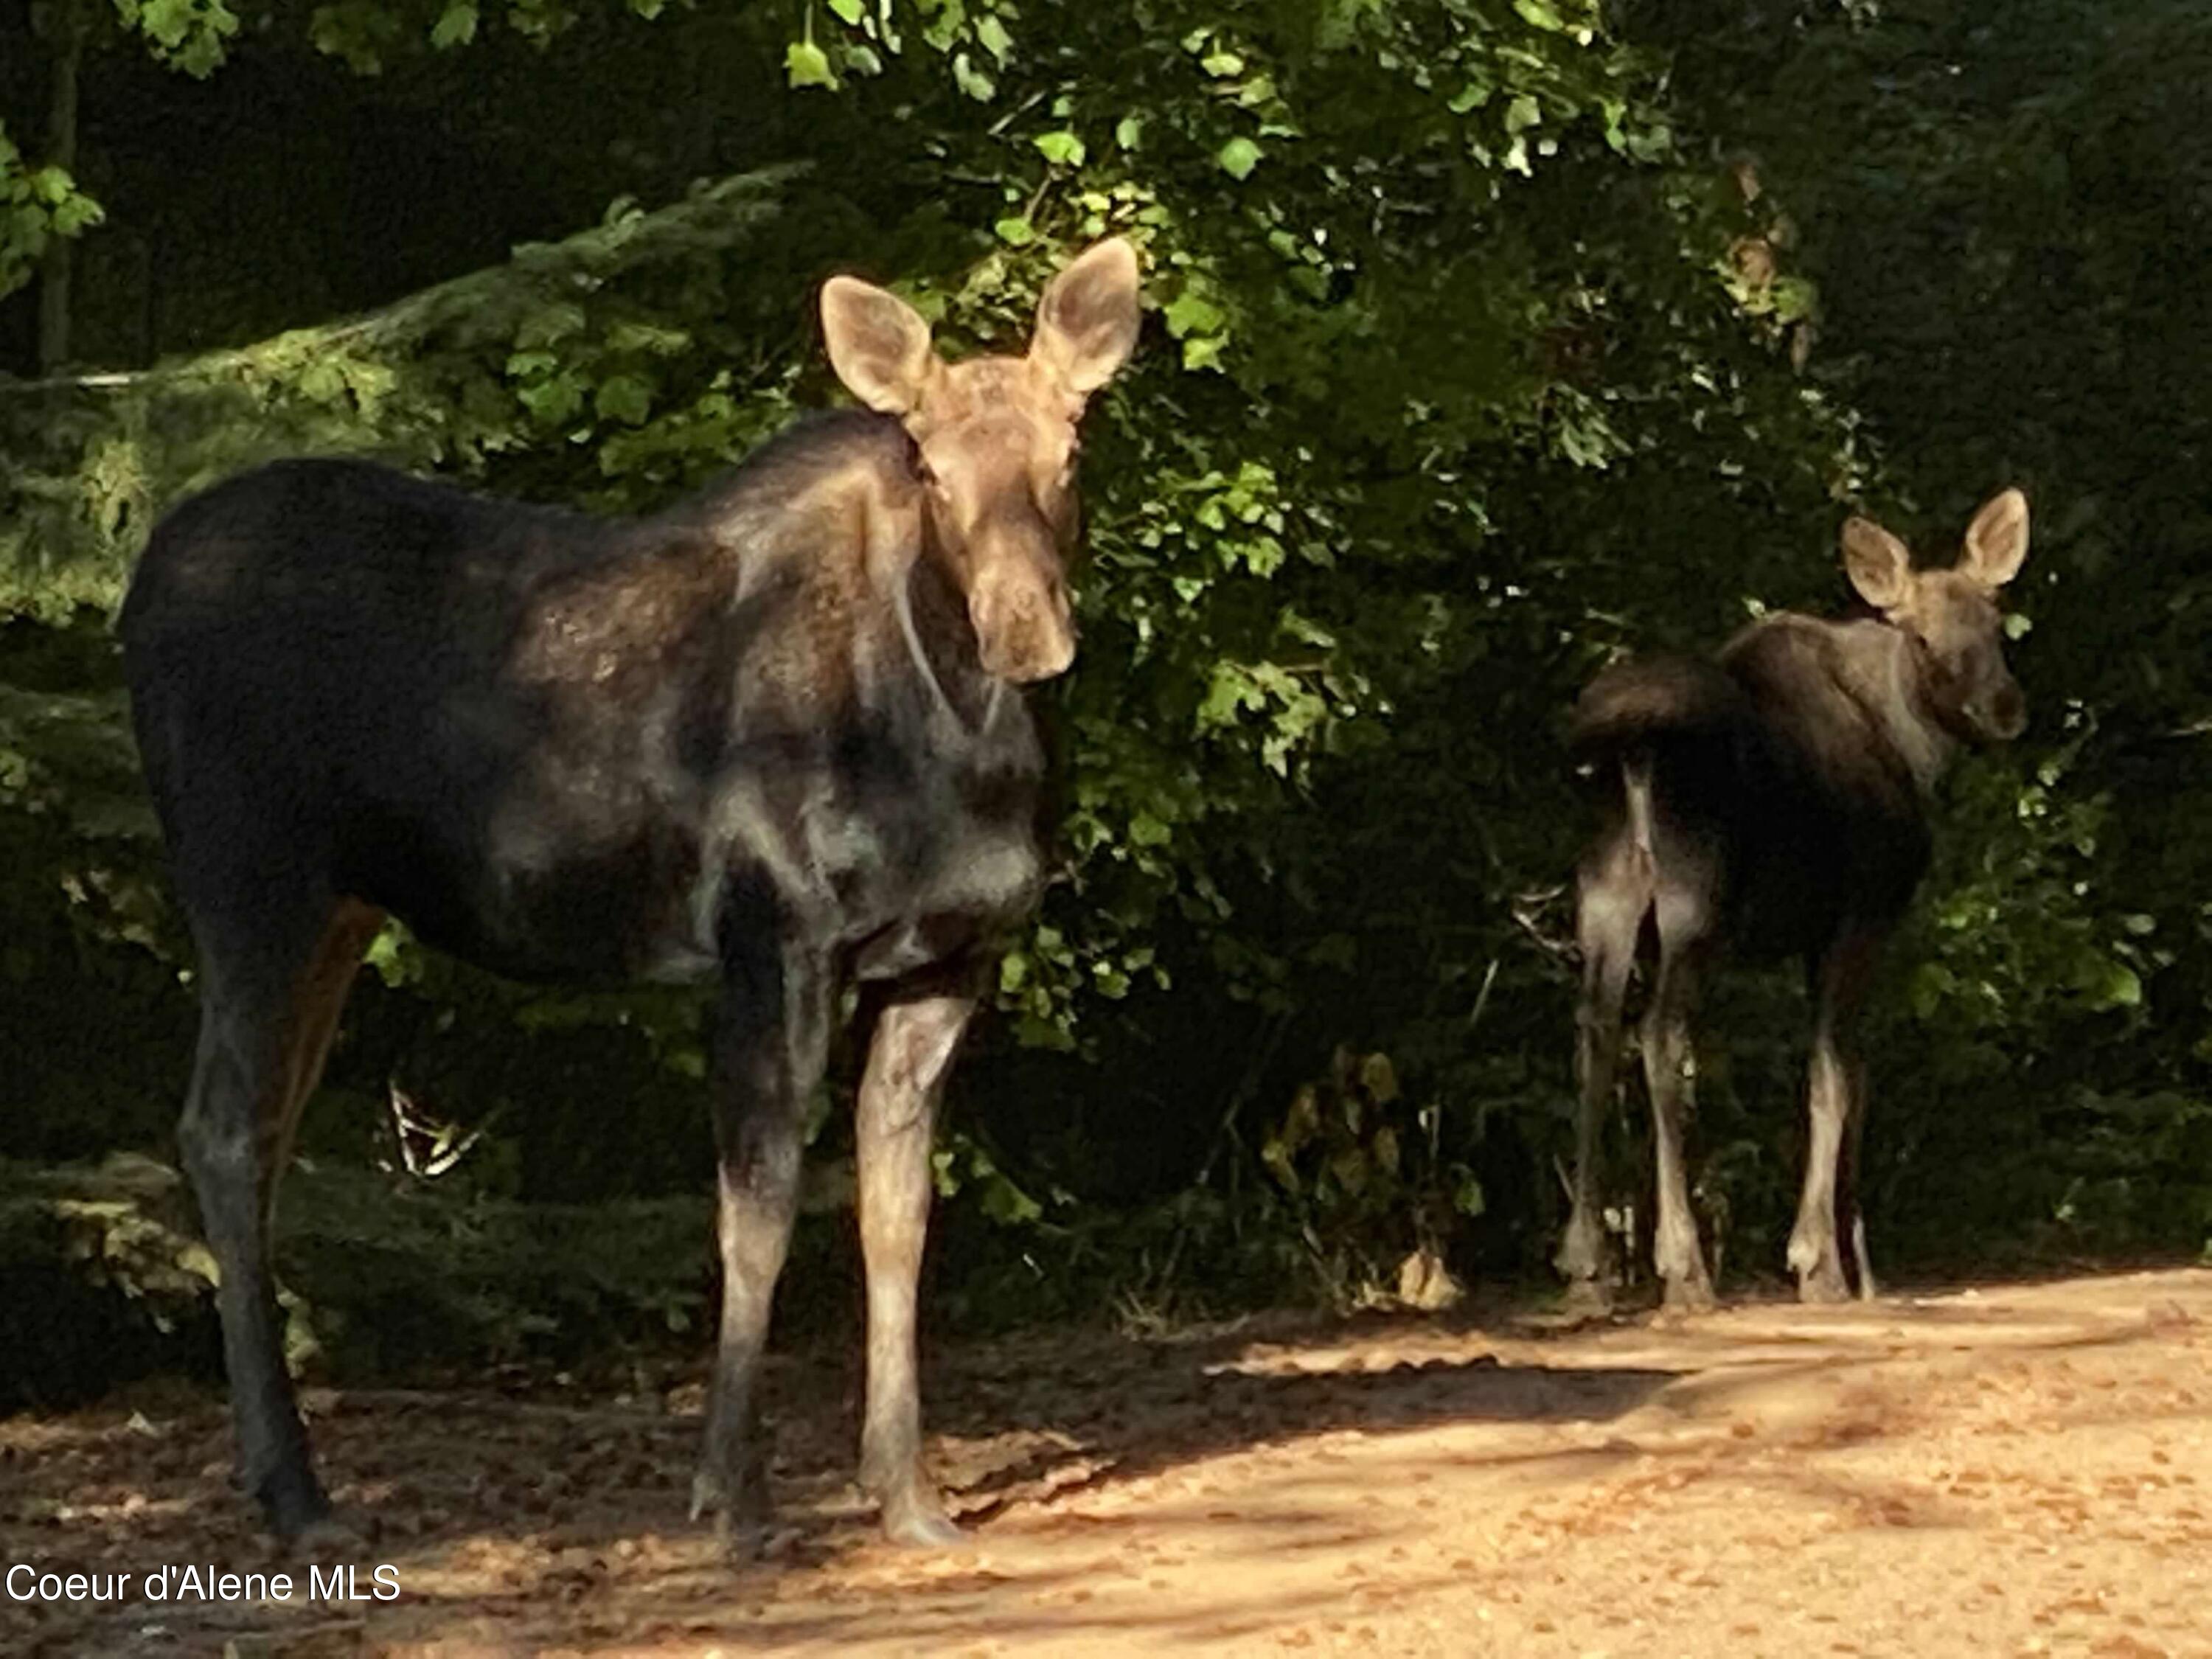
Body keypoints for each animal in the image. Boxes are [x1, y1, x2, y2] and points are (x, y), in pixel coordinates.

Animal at [121, 237, 1150, 1557]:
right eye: (926, 461)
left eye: (1074, 442)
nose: (1027, 628)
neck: (963, 745)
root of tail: (134, 595)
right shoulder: (774, 939)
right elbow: (758, 1211)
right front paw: (731, 1498)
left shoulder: (944, 961)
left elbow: (898, 1220)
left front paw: (908, 1495)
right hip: (250, 884)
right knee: (218, 1129)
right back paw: (301, 1497)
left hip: (336, 913)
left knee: (263, 1136)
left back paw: (276, 1478)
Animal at [1548, 491, 2026, 1310]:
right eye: (1922, 637)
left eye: (1996, 622)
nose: (2003, 707)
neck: (1911, 750)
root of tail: (1627, 750)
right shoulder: (1861, 916)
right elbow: (1833, 1077)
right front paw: (1821, 1263)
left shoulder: (1816, 935)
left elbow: (1850, 1074)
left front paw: (1857, 1263)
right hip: (1694, 900)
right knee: (1660, 1036)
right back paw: (1683, 1266)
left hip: (1606, 894)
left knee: (1595, 1032)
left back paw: (1586, 1268)